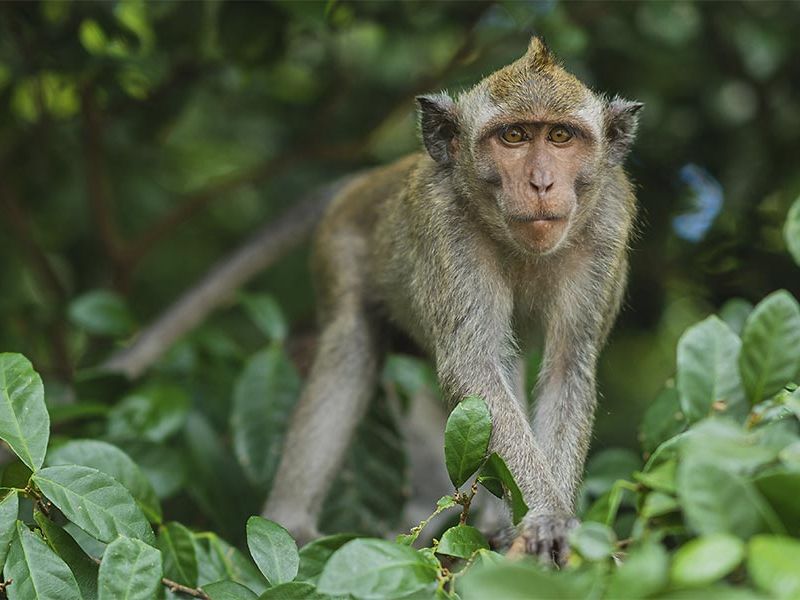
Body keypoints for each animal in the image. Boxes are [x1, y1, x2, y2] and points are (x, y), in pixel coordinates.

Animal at [264, 36, 644, 564]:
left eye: (561, 136)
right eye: (514, 136)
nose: (542, 183)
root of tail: (369, 180)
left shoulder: (608, 219)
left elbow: (567, 367)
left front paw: (551, 523)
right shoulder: (445, 225)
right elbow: (474, 365)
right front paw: (548, 515)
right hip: (338, 249)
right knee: (350, 350)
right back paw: (291, 526)